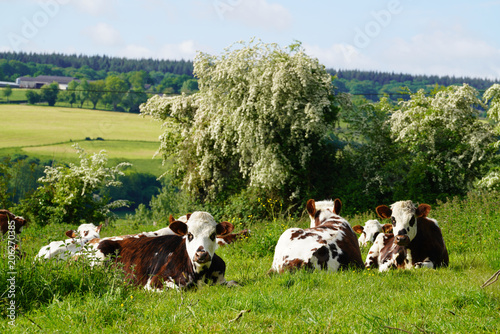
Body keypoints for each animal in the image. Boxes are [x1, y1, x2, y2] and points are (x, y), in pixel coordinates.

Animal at [99, 211, 238, 290]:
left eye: (213, 235)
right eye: (189, 235)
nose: (201, 254)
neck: (199, 274)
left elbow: (235, 283)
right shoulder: (154, 282)